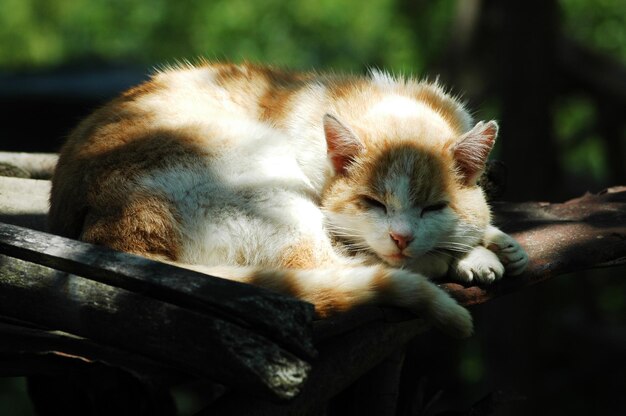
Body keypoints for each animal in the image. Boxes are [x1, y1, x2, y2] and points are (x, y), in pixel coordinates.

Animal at [50, 62, 528, 342]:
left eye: (433, 208)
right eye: (372, 203)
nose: (401, 237)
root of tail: (118, 240)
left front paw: (497, 242)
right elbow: (362, 251)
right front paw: (472, 252)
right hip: (266, 175)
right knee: (326, 265)